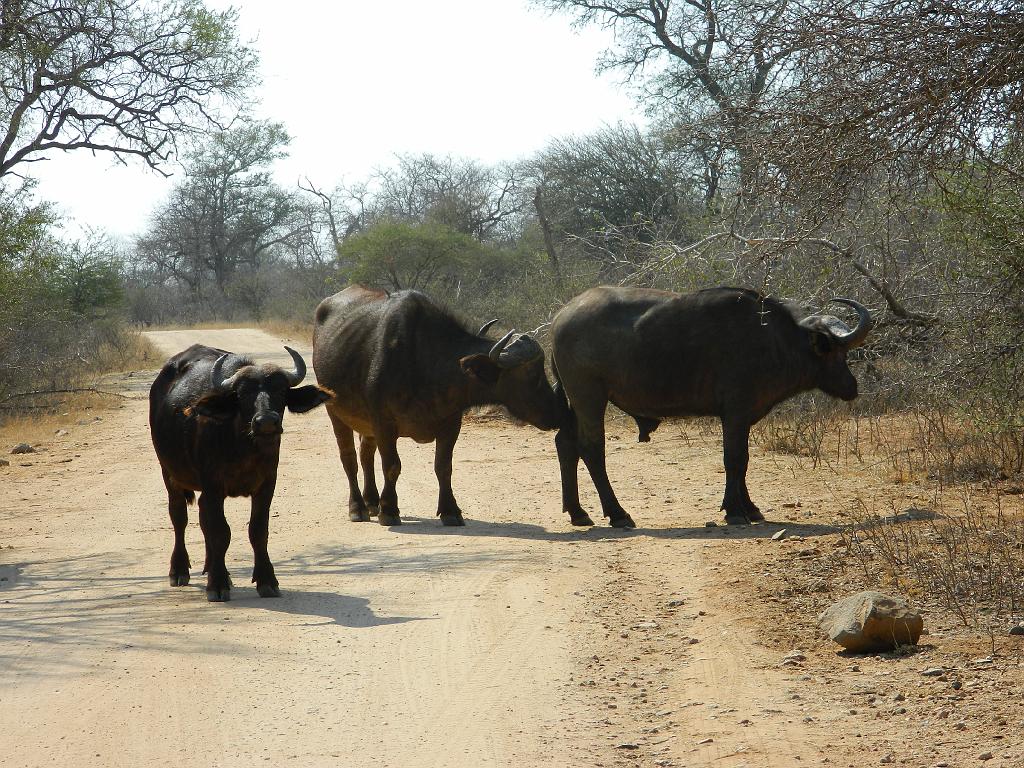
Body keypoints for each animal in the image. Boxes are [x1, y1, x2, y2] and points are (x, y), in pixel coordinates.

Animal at [148, 346, 329, 606]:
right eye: (243, 393)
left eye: (280, 390)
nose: (266, 422)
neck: (243, 446)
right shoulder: (214, 487)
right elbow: (221, 533)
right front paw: (217, 584)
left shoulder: (267, 485)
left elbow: (258, 531)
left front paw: (266, 580)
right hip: (169, 474)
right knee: (179, 517)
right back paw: (180, 570)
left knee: (203, 518)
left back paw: (211, 567)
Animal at [313, 286, 569, 528]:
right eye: (533, 375)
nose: (558, 412)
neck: (425, 362)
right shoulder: (384, 423)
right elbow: (392, 466)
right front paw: (390, 510)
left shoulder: (451, 423)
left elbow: (444, 467)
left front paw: (450, 510)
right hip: (335, 412)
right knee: (349, 459)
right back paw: (358, 507)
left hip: (366, 424)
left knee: (366, 454)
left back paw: (372, 501)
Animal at [552, 286, 872, 528]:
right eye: (838, 353)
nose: (852, 386)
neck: (773, 340)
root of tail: (560, 318)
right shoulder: (735, 413)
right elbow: (735, 459)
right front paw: (735, 510)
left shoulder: (742, 417)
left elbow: (743, 462)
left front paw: (750, 507)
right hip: (589, 397)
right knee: (591, 449)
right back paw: (617, 514)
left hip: (575, 403)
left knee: (565, 443)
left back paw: (578, 513)